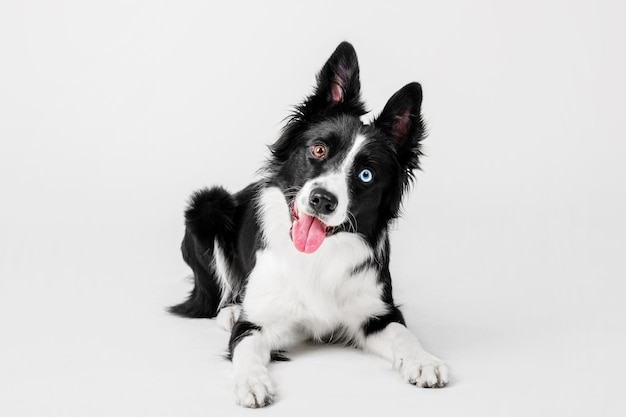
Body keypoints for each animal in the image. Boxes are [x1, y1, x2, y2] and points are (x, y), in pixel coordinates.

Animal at [168, 41, 446, 406]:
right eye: (318, 150)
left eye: (366, 175)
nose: (322, 200)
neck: (318, 257)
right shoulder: (256, 322)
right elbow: (246, 350)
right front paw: (250, 381)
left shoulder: (376, 312)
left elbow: (404, 334)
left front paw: (424, 360)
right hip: (207, 205)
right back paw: (228, 310)